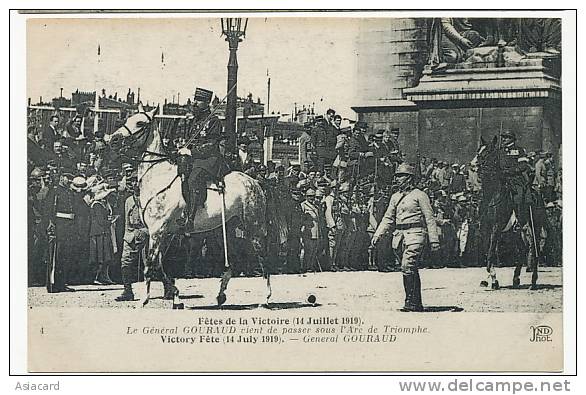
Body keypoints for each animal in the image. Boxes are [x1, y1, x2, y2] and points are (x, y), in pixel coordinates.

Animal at [106, 104, 274, 306]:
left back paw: (265, 298)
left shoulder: (157, 231)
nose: (113, 140)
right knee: (234, 259)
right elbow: (161, 265)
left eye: (140, 123)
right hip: (226, 230)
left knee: (263, 257)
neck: (158, 177)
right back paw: (221, 294)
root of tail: (254, 182)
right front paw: (176, 296)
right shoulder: (165, 233)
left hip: (254, 227)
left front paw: (144, 300)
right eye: (127, 119)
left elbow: (151, 264)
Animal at [474, 137, 544, 290]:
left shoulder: (496, 227)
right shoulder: (484, 229)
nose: (473, 165)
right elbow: (488, 250)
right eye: (478, 151)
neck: (492, 196)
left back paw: (533, 281)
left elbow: (491, 251)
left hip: (534, 227)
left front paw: (491, 276)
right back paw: (516, 278)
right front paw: (492, 278)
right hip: (516, 233)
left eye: (488, 152)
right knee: (522, 250)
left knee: (534, 250)